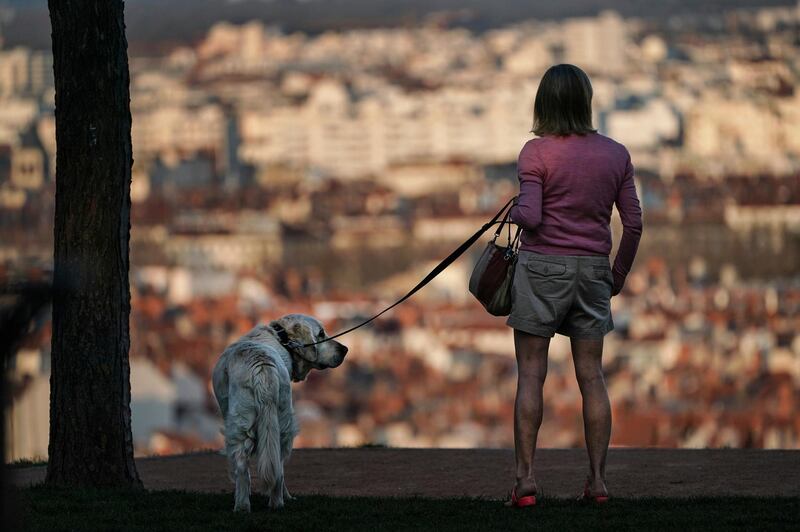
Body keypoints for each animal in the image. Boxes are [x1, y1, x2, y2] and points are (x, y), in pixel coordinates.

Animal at [212, 316, 346, 512]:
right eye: (321, 333)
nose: (345, 349)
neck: (281, 339)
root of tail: (261, 367)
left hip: (242, 424)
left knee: (243, 467)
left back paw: (244, 506)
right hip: (282, 422)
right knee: (277, 468)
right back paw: (276, 502)